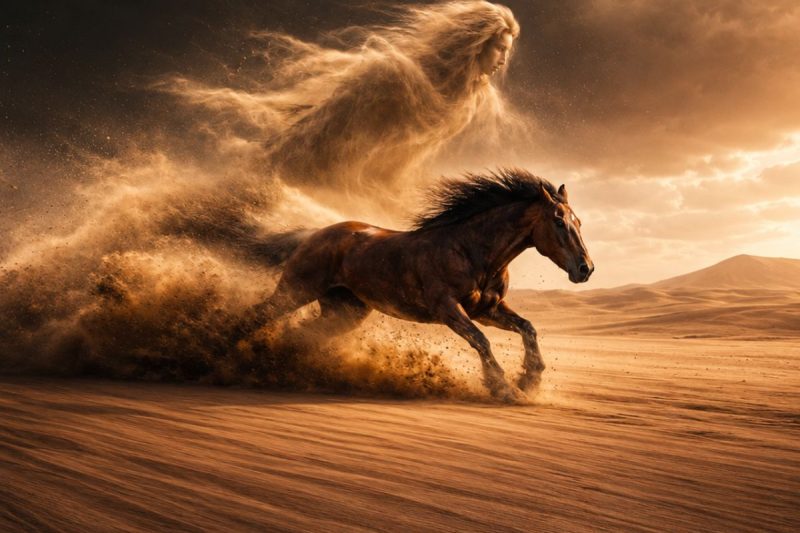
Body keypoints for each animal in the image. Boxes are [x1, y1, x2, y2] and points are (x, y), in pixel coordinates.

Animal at [243, 169, 593, 400]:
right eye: (558, 222)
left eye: (579, 222)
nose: (586, 268)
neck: (472, 250)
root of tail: (311, 236)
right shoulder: (448, 309)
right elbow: (481, 341)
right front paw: (505, 389)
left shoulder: (488, 309)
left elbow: (528, 328)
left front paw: (529, 380)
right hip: (296, 290)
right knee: (258, 315)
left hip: (345, 311)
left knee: (303, 333)